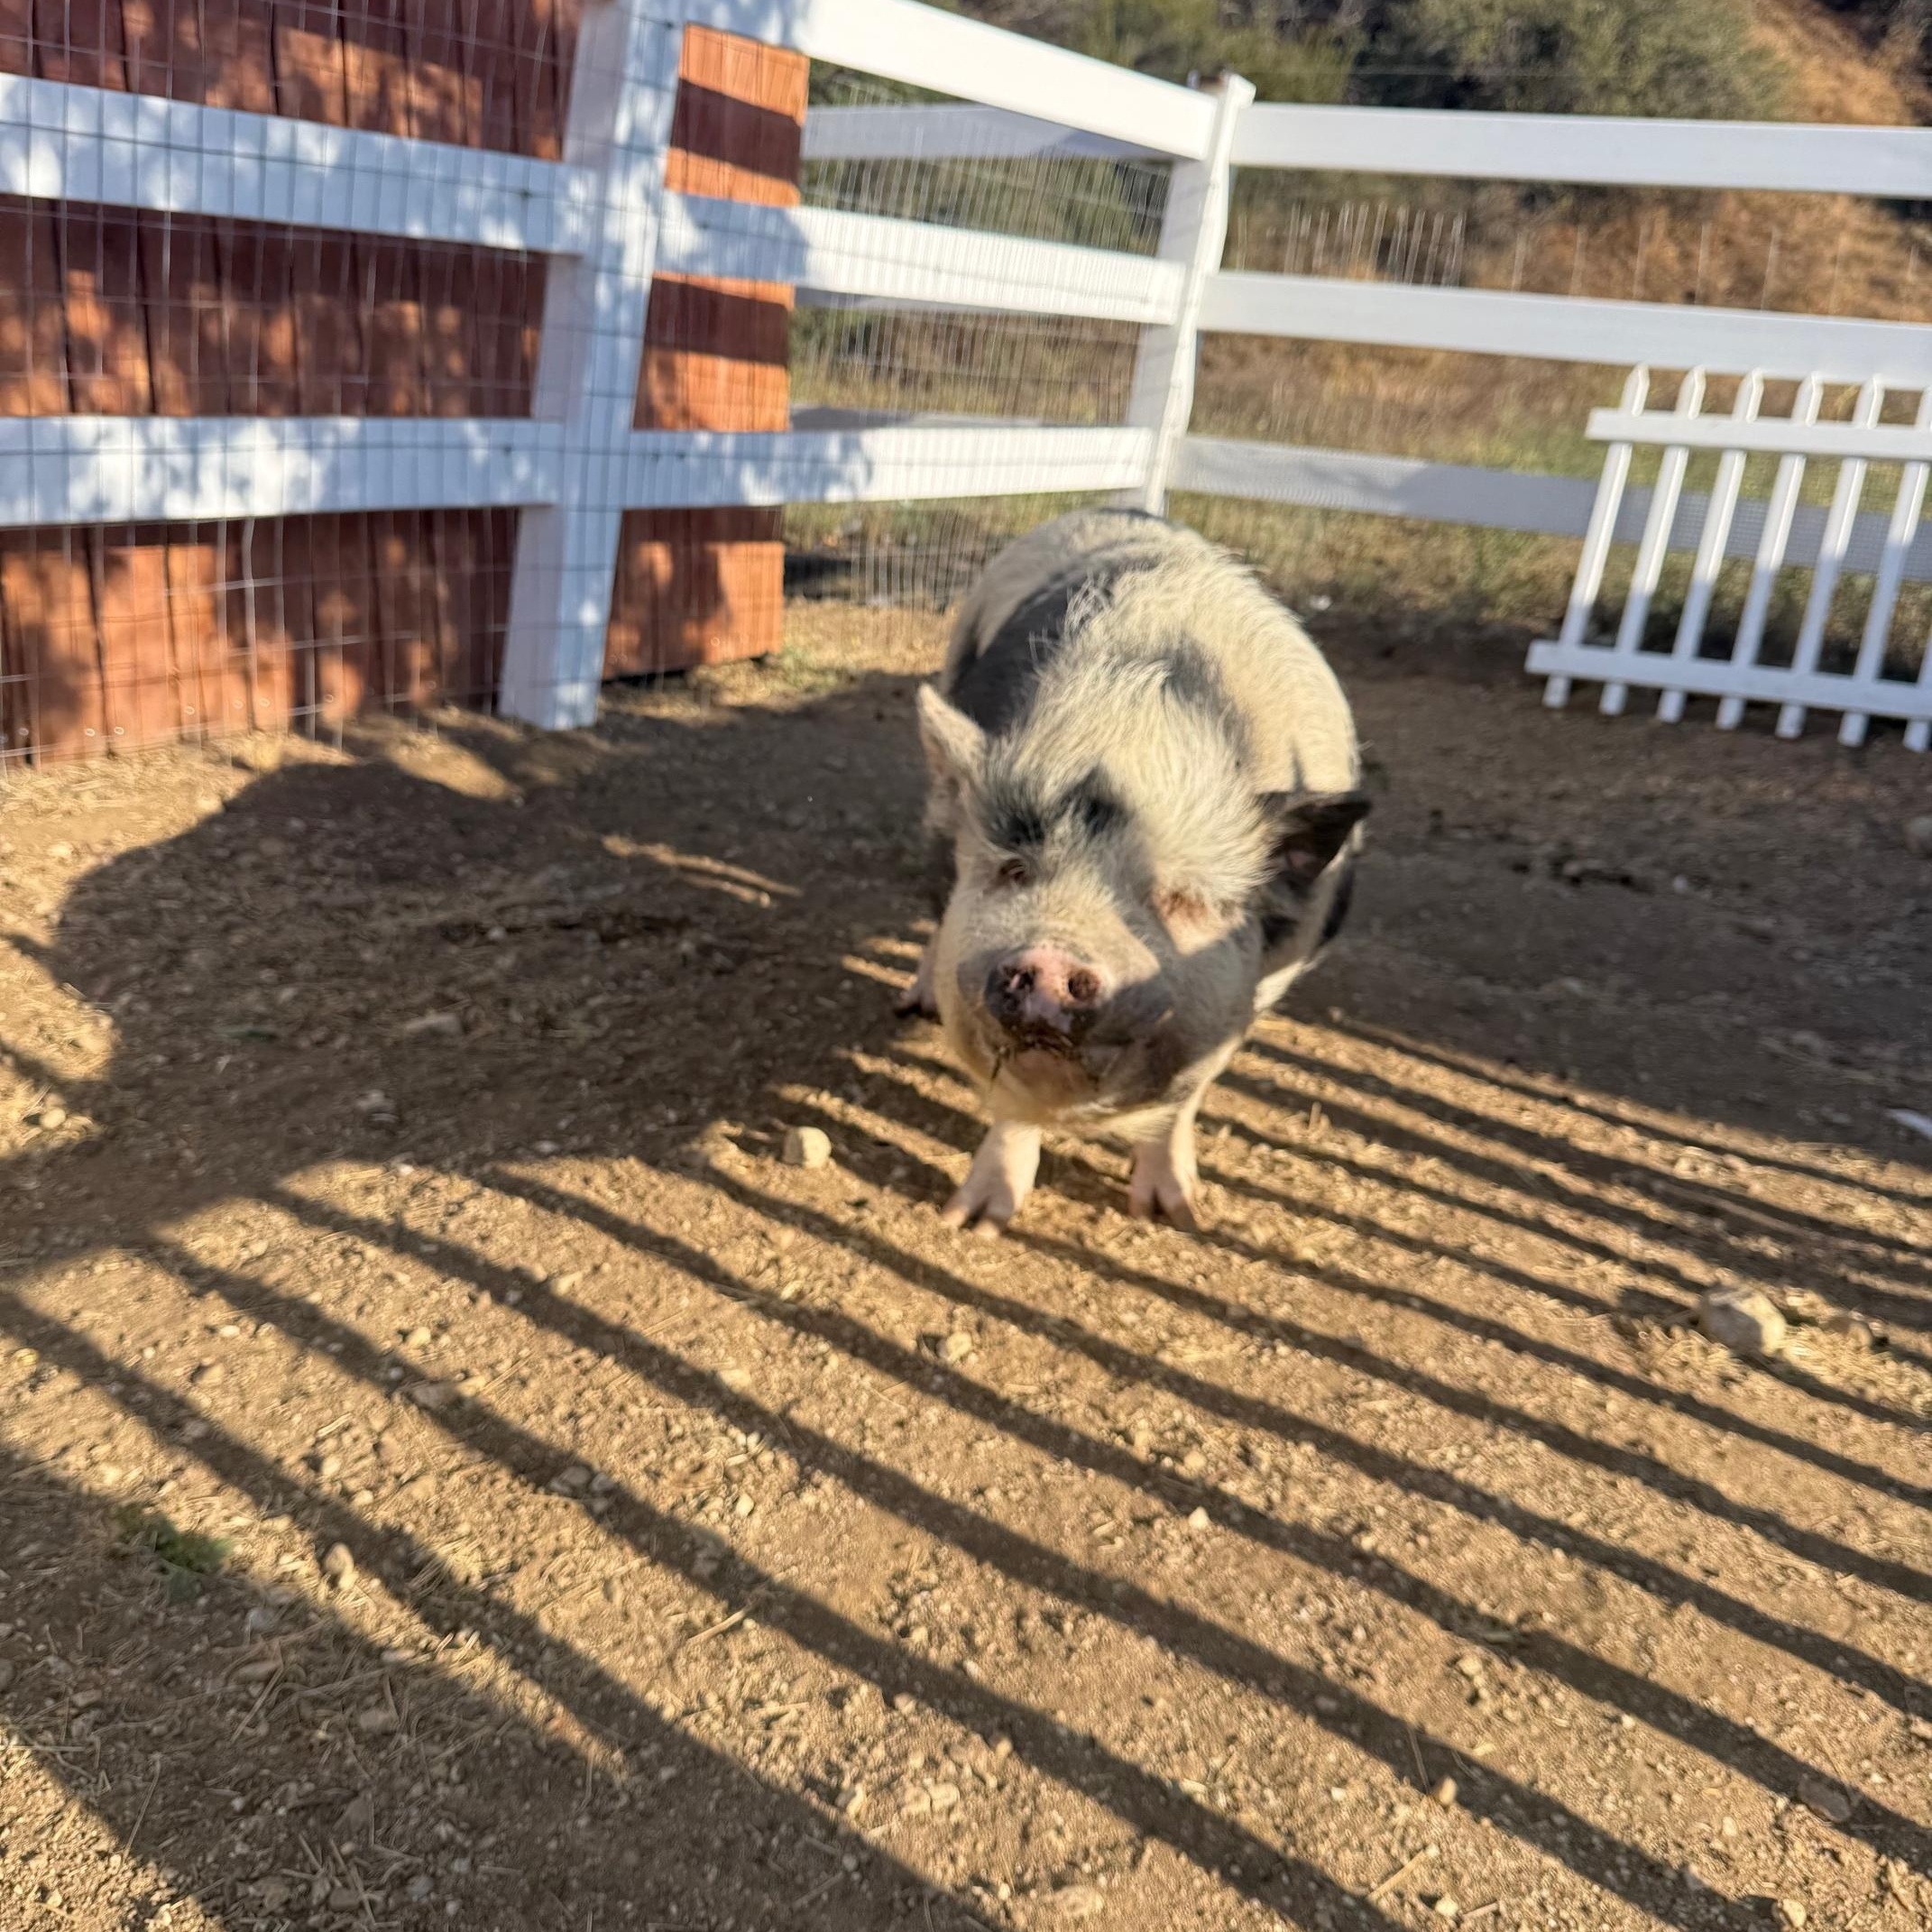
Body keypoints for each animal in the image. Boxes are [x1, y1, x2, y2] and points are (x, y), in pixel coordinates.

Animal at [900, 508, 1367, 1234]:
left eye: (1182, 901)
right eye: (1014, 870)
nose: (1053, 957)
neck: (1137, 753)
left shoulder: (1263, 986)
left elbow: (1187, 1096)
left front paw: (1176, 1214)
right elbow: (1010, 1107)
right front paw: (972, 1222)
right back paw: (914, 1004)